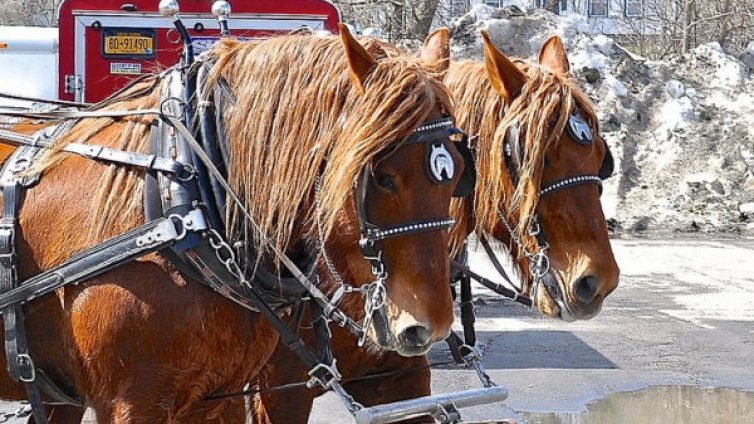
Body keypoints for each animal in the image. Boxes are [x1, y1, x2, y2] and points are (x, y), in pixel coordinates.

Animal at [0, 28, 464, 422]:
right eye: (381, 177)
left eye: (458, 172)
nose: (431, 325)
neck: (181, 205)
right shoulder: (134, 402)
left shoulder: (215, 397)